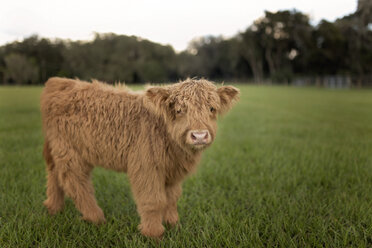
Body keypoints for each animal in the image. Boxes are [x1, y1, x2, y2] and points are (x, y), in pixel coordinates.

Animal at [40, 77, 238, 236]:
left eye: (212, 109)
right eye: (179, 110)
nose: (199, 135)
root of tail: (59, 81)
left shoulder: (172, 172)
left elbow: (172, 199)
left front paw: (174, 225)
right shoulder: (146, 167)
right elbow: (153, 200)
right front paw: (154, 233)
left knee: (54, 173)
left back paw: (54, 208)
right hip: (69, 151)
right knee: (75, 181)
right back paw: (95, 218)